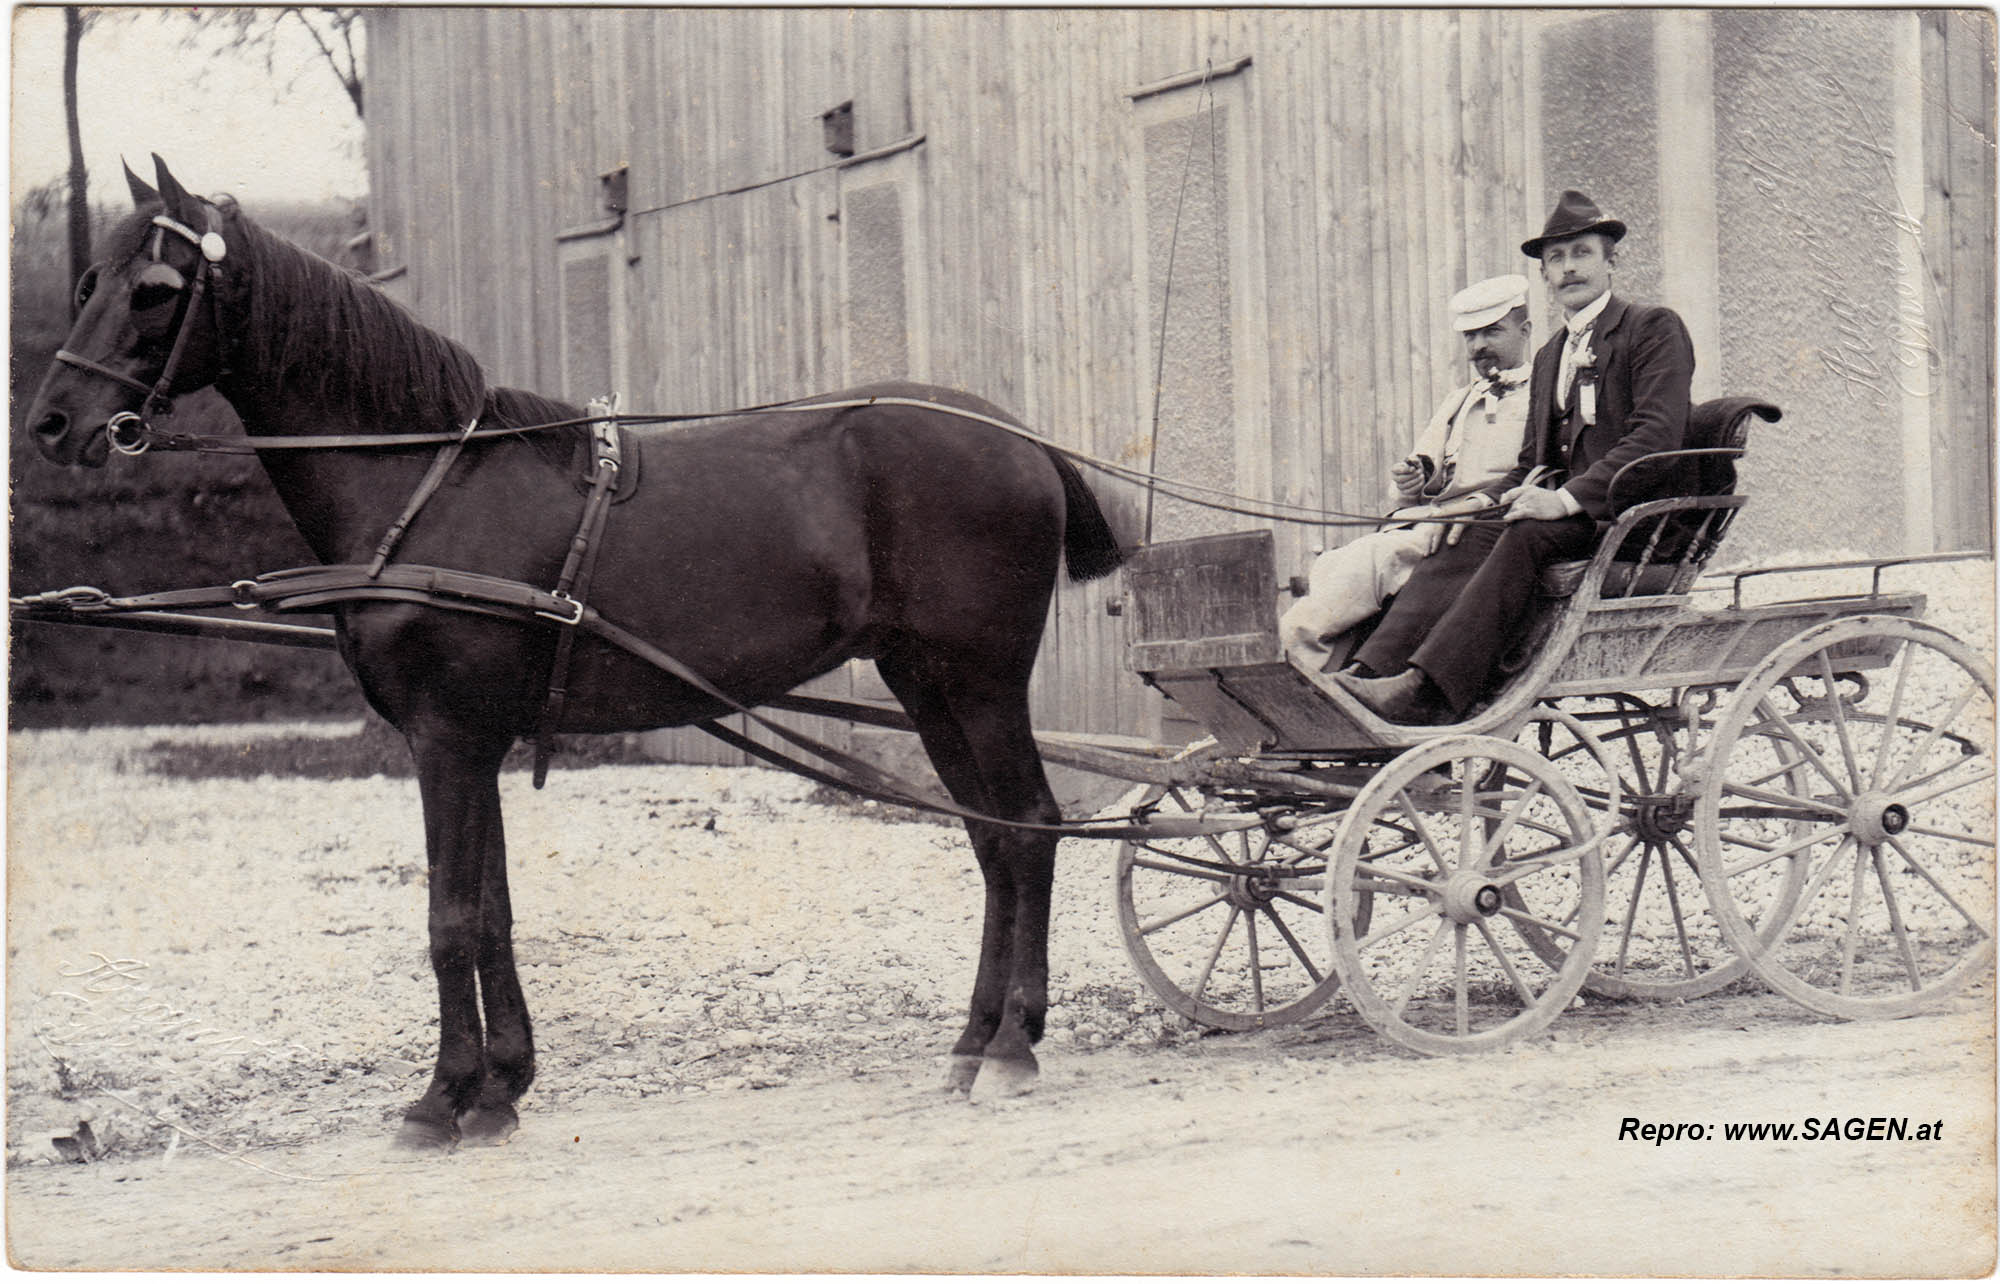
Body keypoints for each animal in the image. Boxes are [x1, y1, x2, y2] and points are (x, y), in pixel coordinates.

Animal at [27, 155, 1128, 1144]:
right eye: (86, 283)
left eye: (155, 290)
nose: (50, 423)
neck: (428, 484)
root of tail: (1021, 440)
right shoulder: (474, 740)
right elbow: (494, 914)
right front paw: (500, 1087)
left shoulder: (445, 739)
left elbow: (450, 921)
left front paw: (441, 1098)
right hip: (925, 683)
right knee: (991, 840)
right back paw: (976, 1037)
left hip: (981, 681)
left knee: (1031, 828)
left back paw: (1012, 1044)